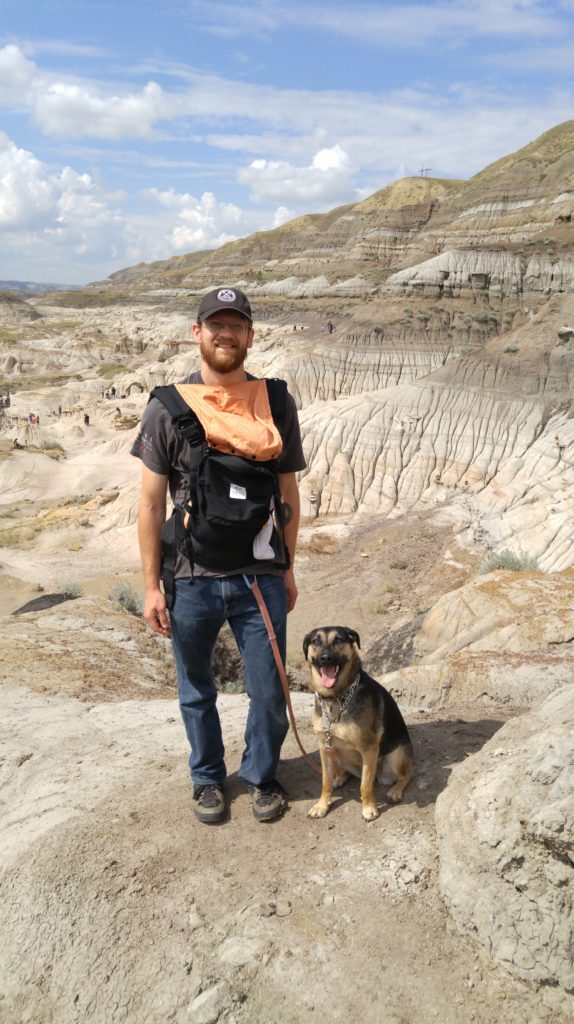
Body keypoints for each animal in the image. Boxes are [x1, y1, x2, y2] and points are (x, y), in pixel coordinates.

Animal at [304, 626, 411, 819]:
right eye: (316, 641)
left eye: (338, 640)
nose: (325, 658)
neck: (335, 698)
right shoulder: (324, 746)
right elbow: (325, 782)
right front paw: (322, 805)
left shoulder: (369, 748)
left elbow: (365, 786)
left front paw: (369, 808)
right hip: (336, 752)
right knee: (346, 772)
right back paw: (340, 777)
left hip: (396, 756)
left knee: (406, 774)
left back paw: (396, 791)